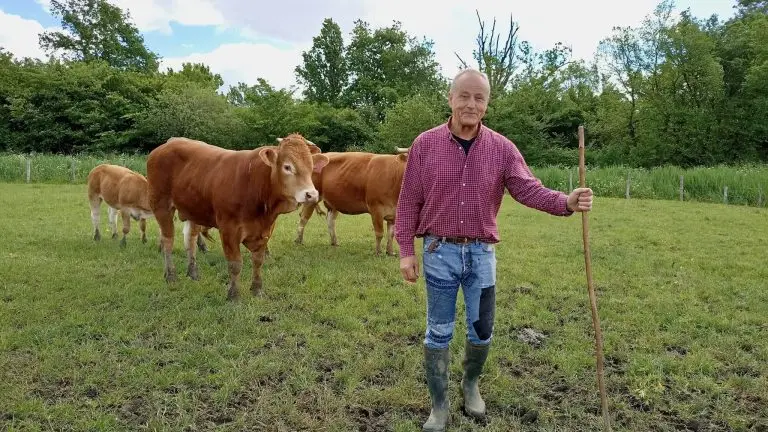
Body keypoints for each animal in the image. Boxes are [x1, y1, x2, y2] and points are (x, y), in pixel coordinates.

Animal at [146, 133, 328, 298]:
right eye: (287, 167)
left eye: (311, 166)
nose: (311, 194)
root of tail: (164, 147)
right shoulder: (228, 230)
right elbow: (235, 264)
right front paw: (233, 295)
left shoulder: (265, 230)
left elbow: (258, 260)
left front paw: (257, 290)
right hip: (161, 206)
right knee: (167, 240)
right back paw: (170, 275)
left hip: (192, 209)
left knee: (189, 239)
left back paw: (193, 273)